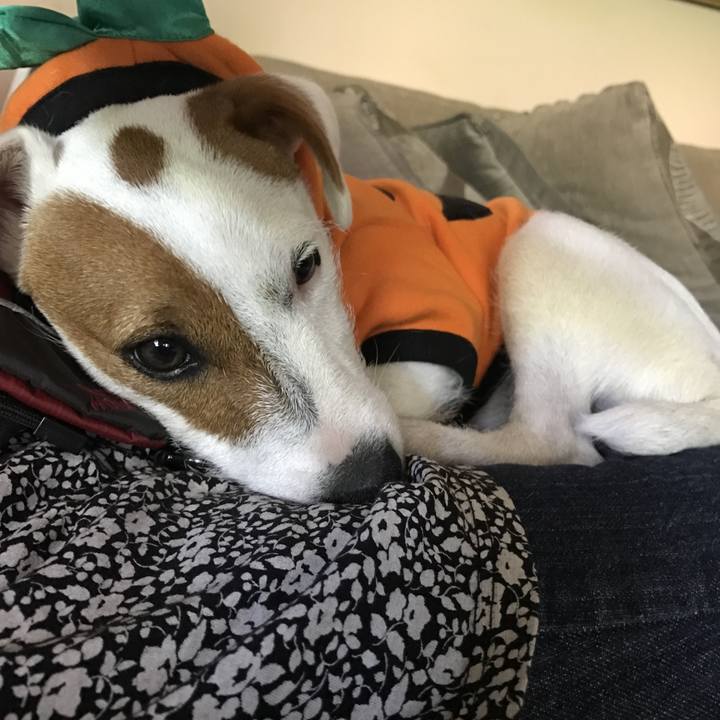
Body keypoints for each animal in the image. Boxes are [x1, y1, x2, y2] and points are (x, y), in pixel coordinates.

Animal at [0, 57, 719, 504]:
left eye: (308, 265)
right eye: (160, 353)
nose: (373, 476)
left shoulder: (432, 348)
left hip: (541, 246)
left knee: (555, 441)